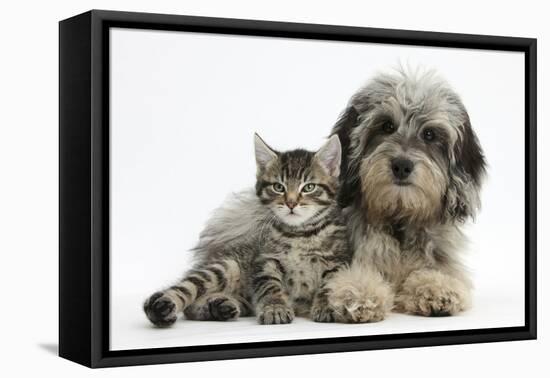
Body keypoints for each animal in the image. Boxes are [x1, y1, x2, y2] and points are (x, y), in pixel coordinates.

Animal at [326, 68, 490, 322]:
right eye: (386, 126)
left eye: (430, 134)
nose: (402, 165)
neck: (399, 220)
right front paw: (359, 293)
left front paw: (437, 288)